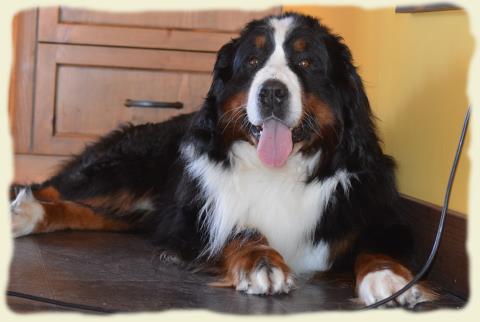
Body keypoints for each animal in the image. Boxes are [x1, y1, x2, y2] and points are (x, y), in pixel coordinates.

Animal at [9, 13, 436, 306]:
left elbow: (381, 245)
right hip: (128, 169)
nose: (272, 92)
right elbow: (240, 228)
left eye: (308, 63)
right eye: (252, 61)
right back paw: (19, 210)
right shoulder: (193, 217)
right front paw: (262, 262)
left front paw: (390, 279)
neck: (279, 172)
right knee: (57, 187)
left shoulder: (377, 210)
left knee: (85, 210)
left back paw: (27, 214)